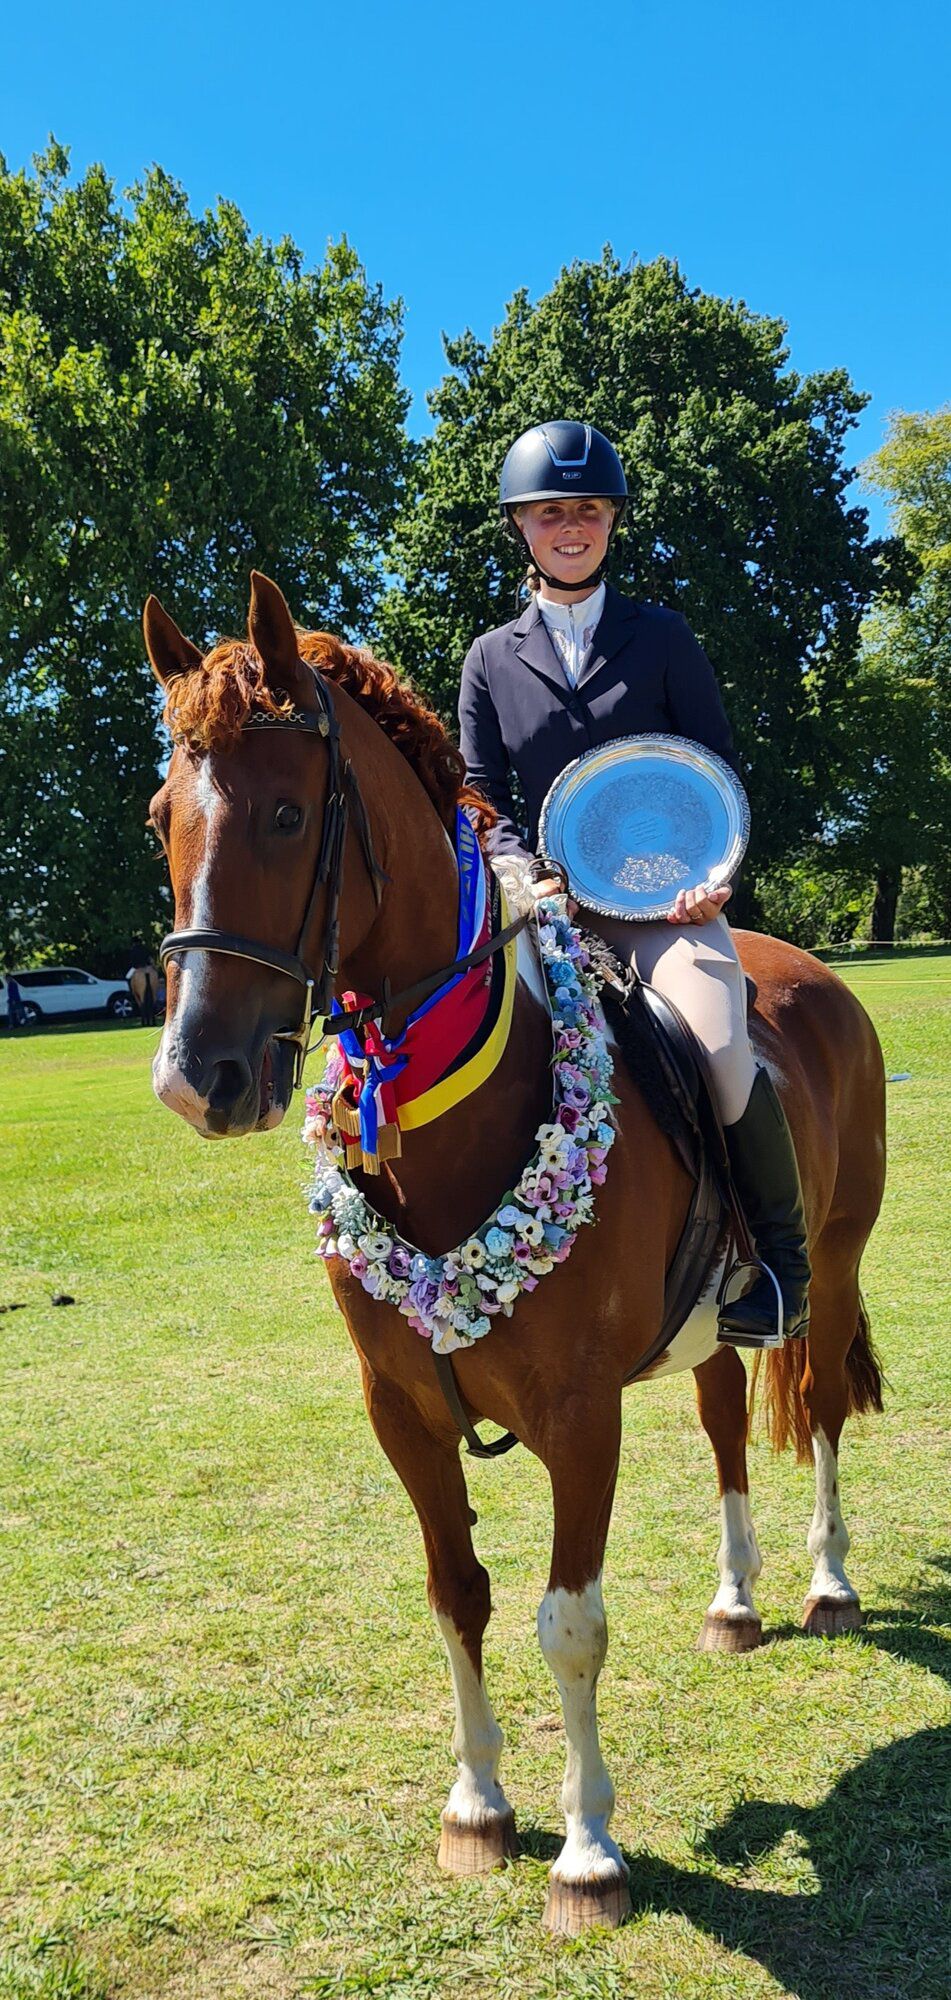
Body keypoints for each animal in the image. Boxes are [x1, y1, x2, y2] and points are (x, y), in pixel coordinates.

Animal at [144, 576, 887, 1936]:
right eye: (164, 816)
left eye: (285, 812)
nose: (197, 1079)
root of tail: (799, 967)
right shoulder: (401, 1411)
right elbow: (460, 1596)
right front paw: (478, 1804)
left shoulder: (579, 1413)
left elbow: (568, 1620)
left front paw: (588, 1852)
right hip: (714, 1320)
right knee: (722, 1421)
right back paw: (736, 1599)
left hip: (836, 1261)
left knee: (812, 1408)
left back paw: (824, 1580)